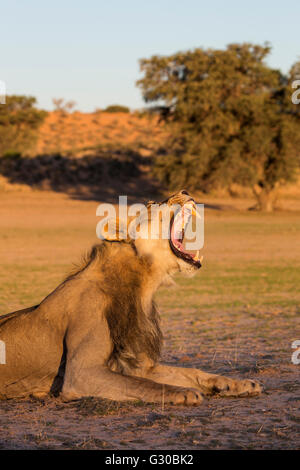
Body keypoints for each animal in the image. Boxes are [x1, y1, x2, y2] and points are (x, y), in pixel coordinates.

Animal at [0, 189, 262, 402]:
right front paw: (184, 393)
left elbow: (188, 372)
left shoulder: (137, 364)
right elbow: (144, 385)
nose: (185, 191)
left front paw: (235, 384)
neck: (144, 285)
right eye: (151, 204)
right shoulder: (81, 373)